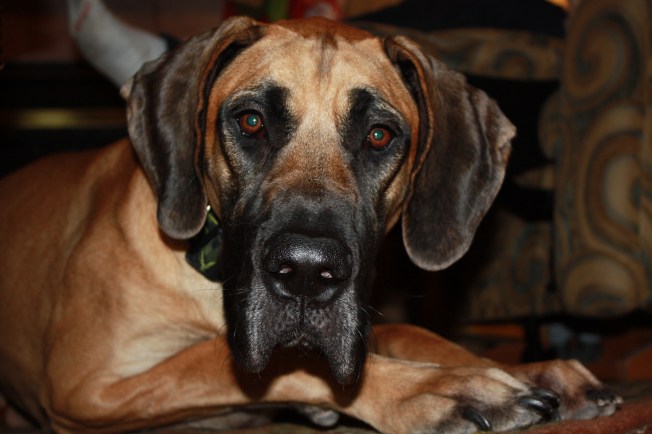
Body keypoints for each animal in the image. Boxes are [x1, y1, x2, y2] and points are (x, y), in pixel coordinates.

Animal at [0, 16, 620, 433]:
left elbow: (409, 332)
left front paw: (528, 370)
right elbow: (222, 359)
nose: (305, 273)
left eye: (379, 135)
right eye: (251, 121)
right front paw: (439, 389)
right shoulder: (87, 387)